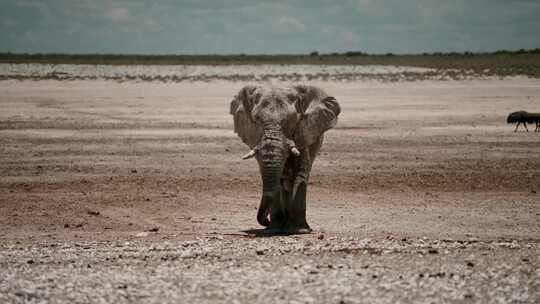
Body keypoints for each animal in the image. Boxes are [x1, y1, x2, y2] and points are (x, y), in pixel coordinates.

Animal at [229, 84, 340, 234]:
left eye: (291, 121)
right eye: (256, 121)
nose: (265, 221)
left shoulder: (303, 131)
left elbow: (300, 172)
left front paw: (299, 231)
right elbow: (274, 178)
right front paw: (273, 230)